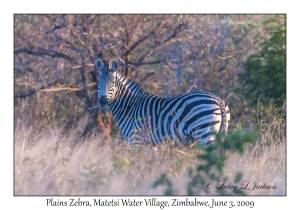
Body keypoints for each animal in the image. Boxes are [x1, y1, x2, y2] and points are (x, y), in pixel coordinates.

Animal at [96, 58, 230, 148]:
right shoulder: (149, 145)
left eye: (112, 83)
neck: (129, 107)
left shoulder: (136, 140)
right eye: (98, 82)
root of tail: (218, 100)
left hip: (205, 134)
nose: (102, 101)